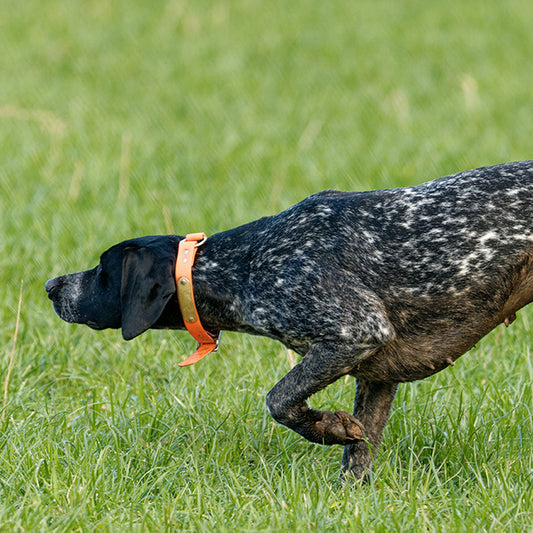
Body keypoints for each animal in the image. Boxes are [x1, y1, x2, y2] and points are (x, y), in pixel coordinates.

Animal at [44, 160, 532, 480]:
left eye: (102, 270)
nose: (51, 285)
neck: (243, 263)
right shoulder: (377, 374)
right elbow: (358, 456)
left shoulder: (356, 331)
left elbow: (279, 400)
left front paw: (326, 427)